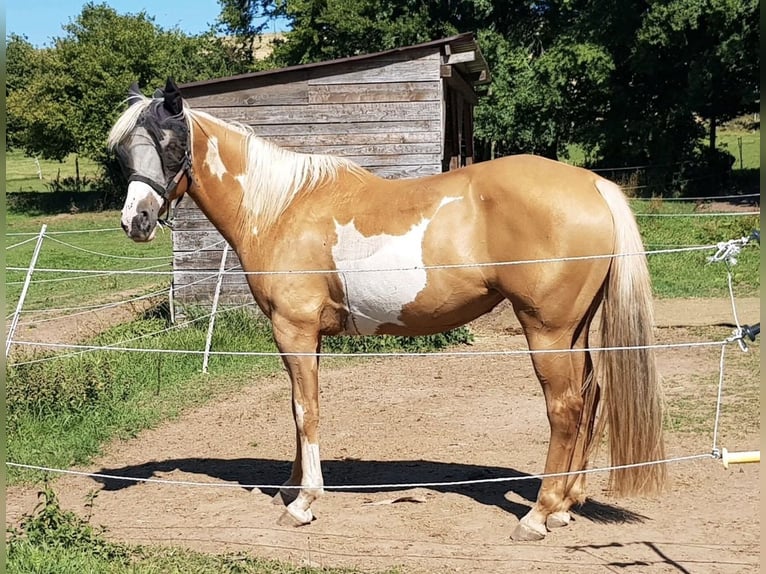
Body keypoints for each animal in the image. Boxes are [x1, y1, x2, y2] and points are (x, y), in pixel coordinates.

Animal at [108, 78, 665, 541]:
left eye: (171, 144)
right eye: (122, 153)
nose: (136, 221)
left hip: (546, 331)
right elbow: (297, 408)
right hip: (575, 330)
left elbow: (305, 409)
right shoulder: (303, 337)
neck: (282, 207)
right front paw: (290, 486)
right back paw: (567, 505)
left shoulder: (294, 330)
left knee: (566, 408)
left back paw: (538, 514)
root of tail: (593, 184)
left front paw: (303, 502)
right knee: (591, 397)